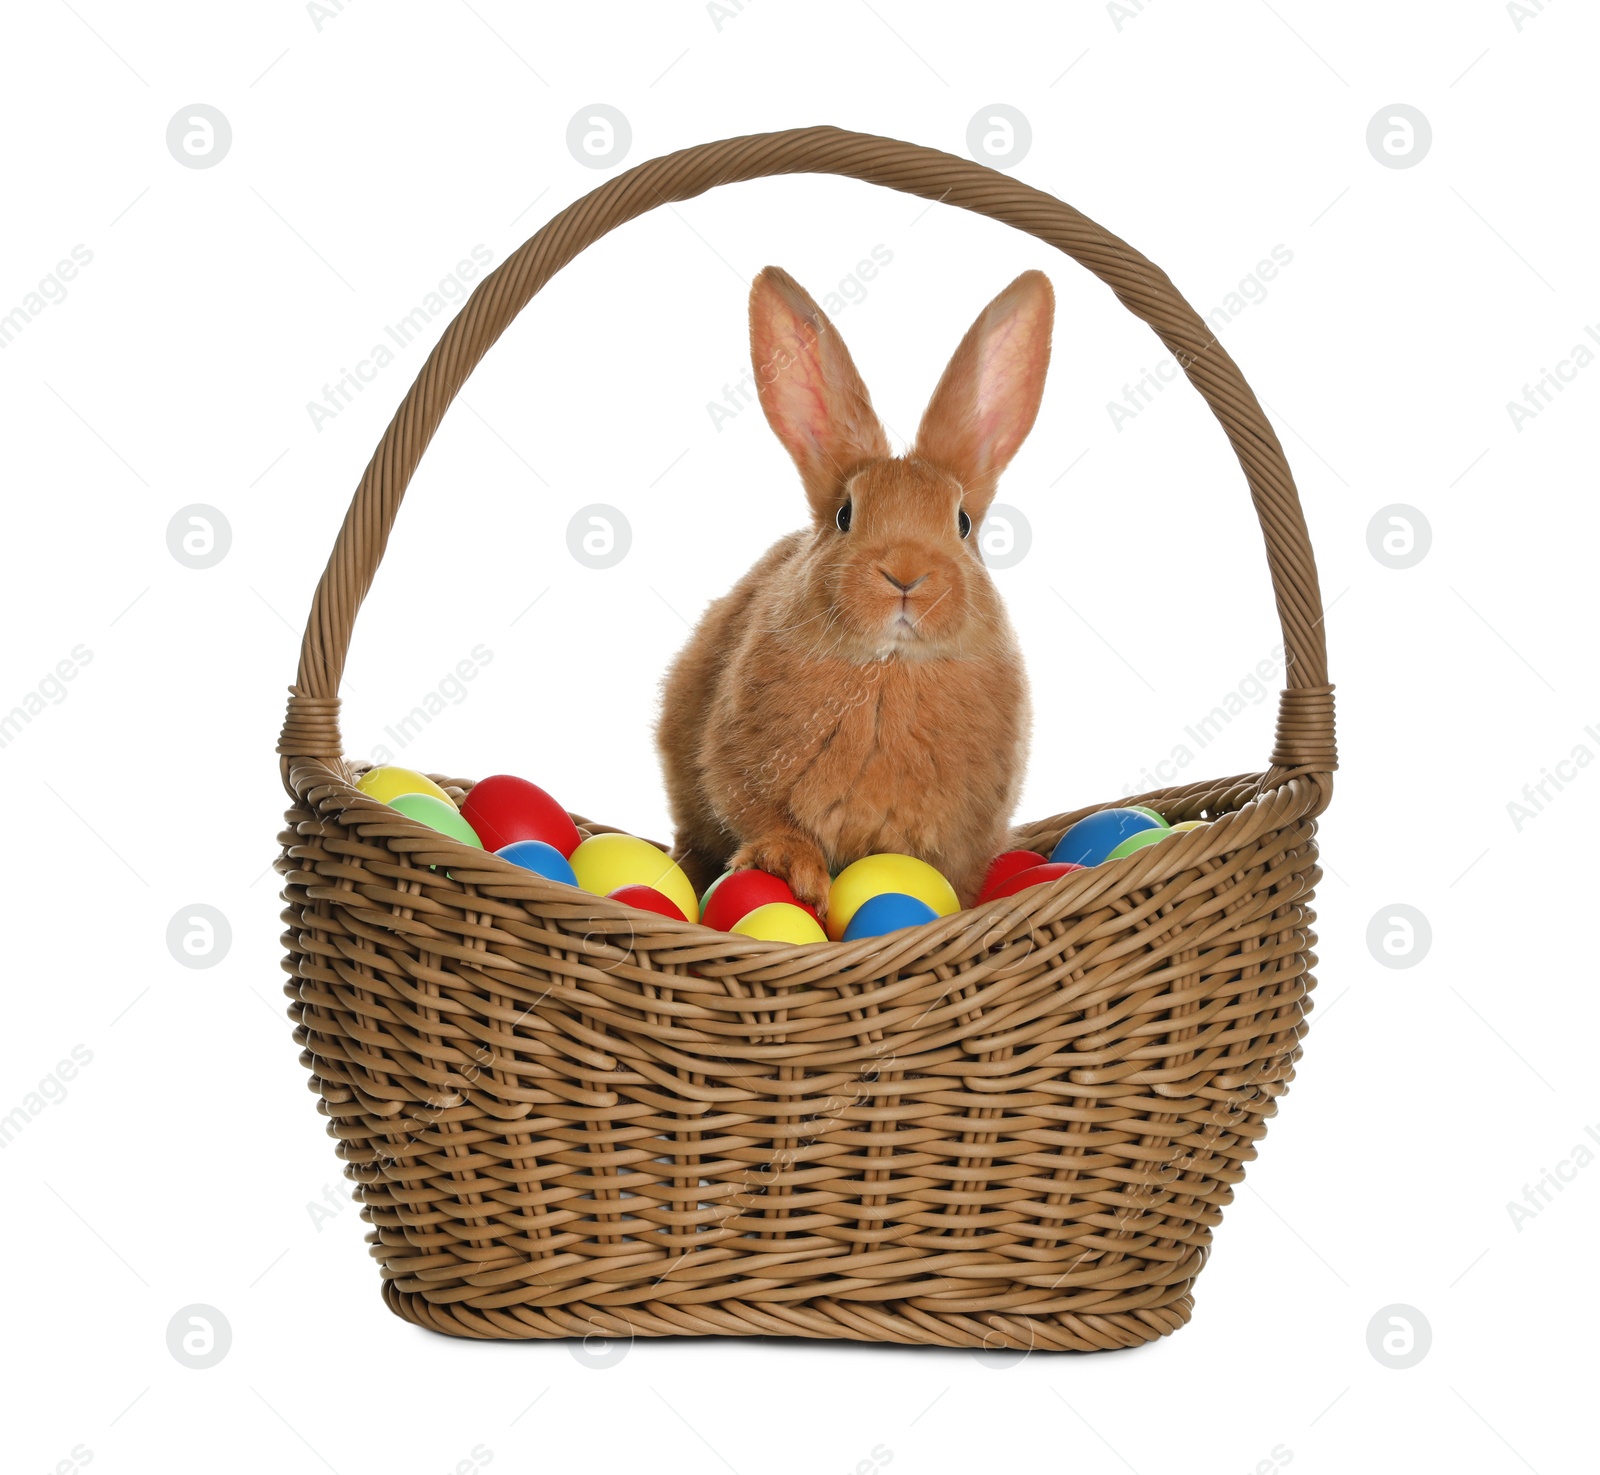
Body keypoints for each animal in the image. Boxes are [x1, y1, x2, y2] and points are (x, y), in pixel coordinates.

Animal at [656, 259, 1056, 915]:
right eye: (845, 514)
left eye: (962, 523)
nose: (905, 574)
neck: (888, 669)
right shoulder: (738, 778)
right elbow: (768, 822)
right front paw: (793, 872)